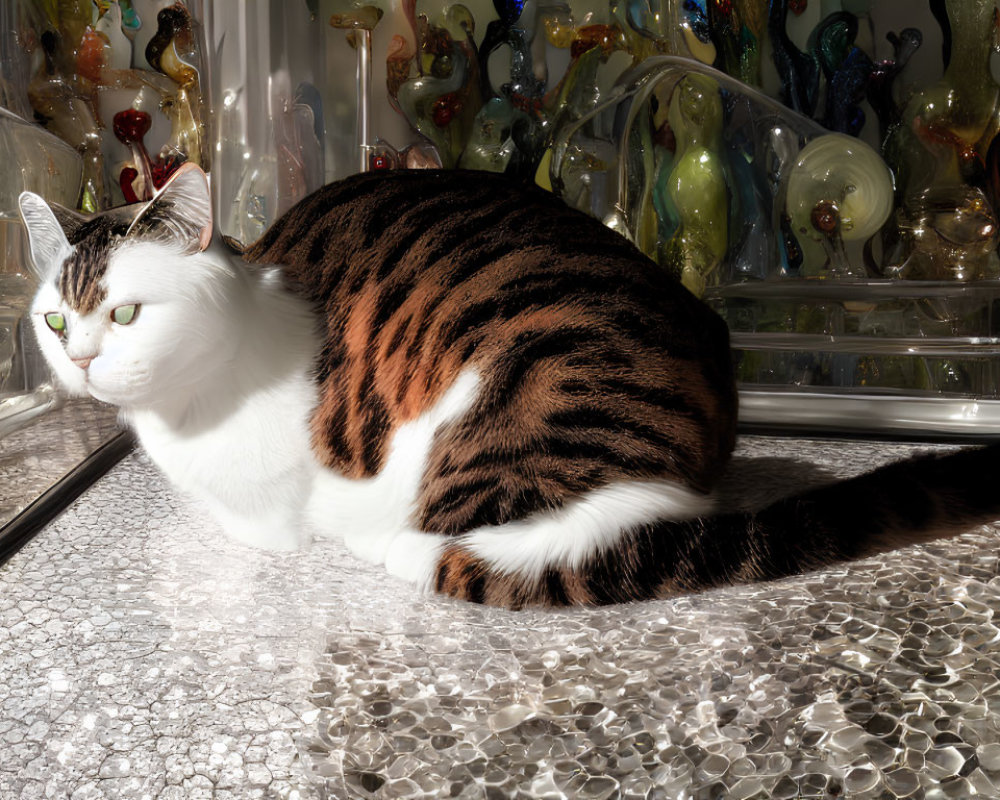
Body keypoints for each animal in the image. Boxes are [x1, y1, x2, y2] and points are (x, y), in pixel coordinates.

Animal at [17, 161, 1000, 608]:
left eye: (129, 313)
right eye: (57, 323)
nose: (83, 362)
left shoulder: (271, 501)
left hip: (511, 387)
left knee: (526, 542)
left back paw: (405, 550)